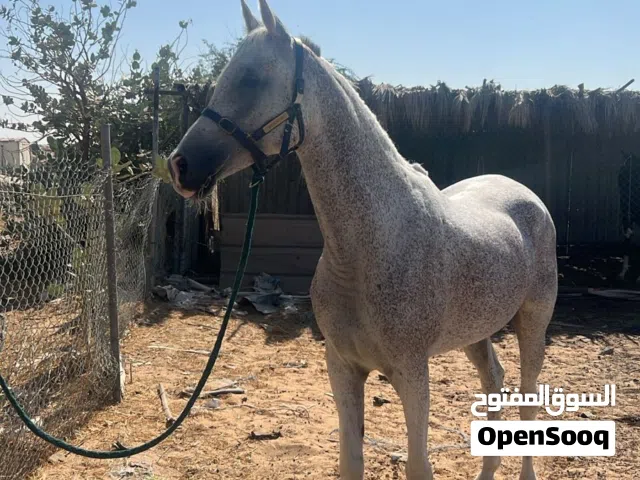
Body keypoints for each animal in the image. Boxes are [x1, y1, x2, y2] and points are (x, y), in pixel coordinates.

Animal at [166, 2, 558, 479]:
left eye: (252, 78)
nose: (180, 166)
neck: (369, 248)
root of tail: (525, 195)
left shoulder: (412, 373)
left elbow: (418, 464)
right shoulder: (342, 367)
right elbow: (351, 461)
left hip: (533, 322)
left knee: (528, 397)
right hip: (477, 332)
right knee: (494, 381)